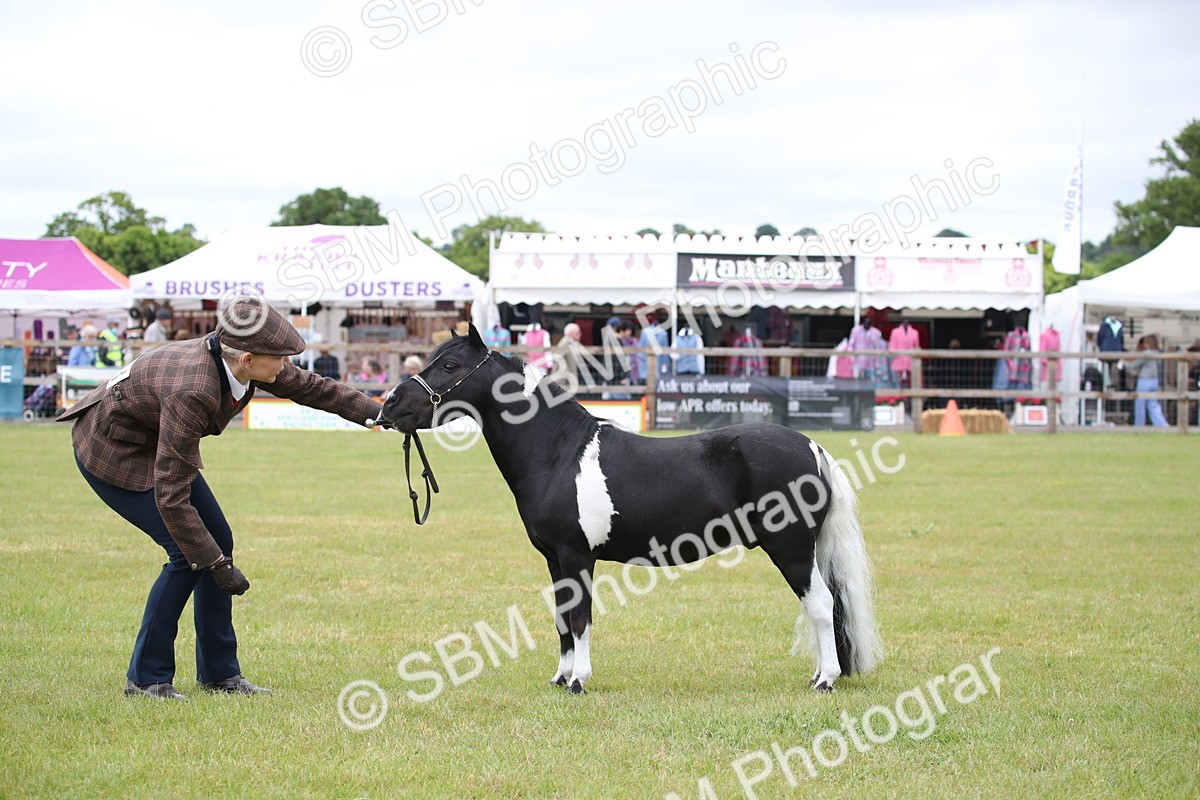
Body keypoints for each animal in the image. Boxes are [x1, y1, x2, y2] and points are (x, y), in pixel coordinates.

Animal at [379, 324, 882, 695]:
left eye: (449, 365)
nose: (390, 406)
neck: (557, 452)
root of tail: (813, 447)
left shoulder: (578, 556)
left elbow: (580, 618)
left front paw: (578, 682)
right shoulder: (555, 560)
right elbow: (562, 619)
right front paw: (560, 677)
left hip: (792, 548)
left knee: (821, 604)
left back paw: (825, 680)